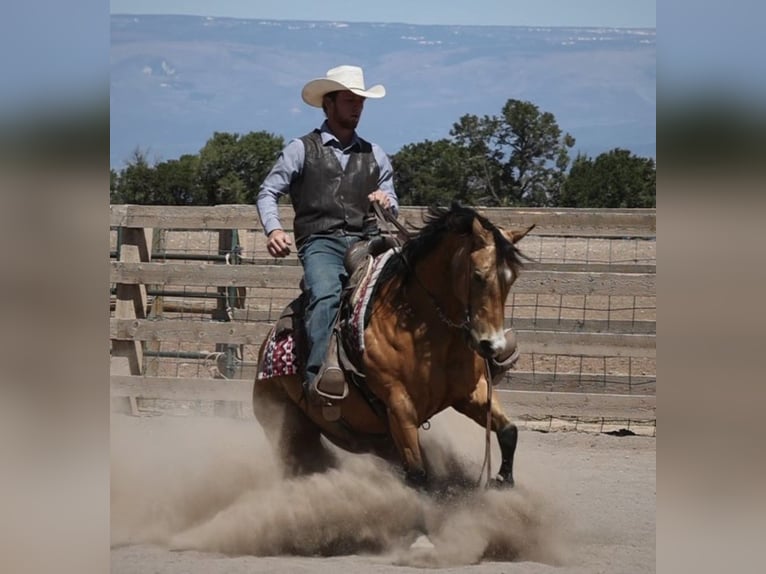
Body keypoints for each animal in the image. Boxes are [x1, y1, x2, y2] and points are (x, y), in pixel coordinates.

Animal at [252, 202, 536, 490]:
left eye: (511, 278)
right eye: (478, 276)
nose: (493, 345)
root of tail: (265, 349)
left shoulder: (472, 391)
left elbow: (509, 431)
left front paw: (503, 480)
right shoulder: (399, 406)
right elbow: (418, 476)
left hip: (366, 437)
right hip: (289, 428)